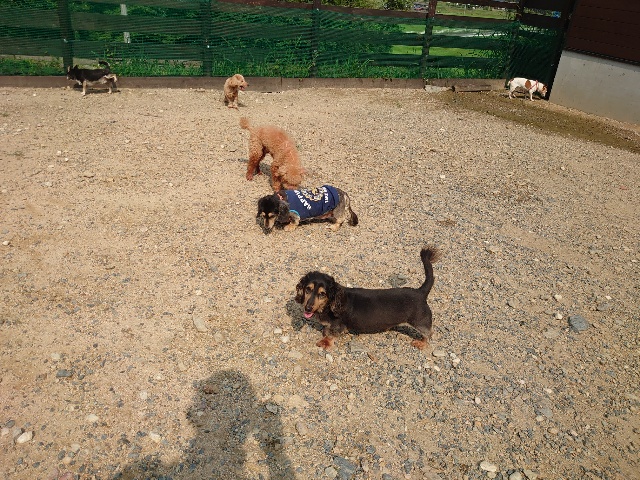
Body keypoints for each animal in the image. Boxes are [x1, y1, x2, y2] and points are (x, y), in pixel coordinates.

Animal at [295, 247, 440, 350]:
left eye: (322, 294)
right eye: (308, 289)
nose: (307, 308)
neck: (330, 305)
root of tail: (420, 292)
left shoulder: (339, 326)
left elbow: (332, 335)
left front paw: (325, 342)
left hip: (420, 322)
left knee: (429, 333)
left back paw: (422, 343)